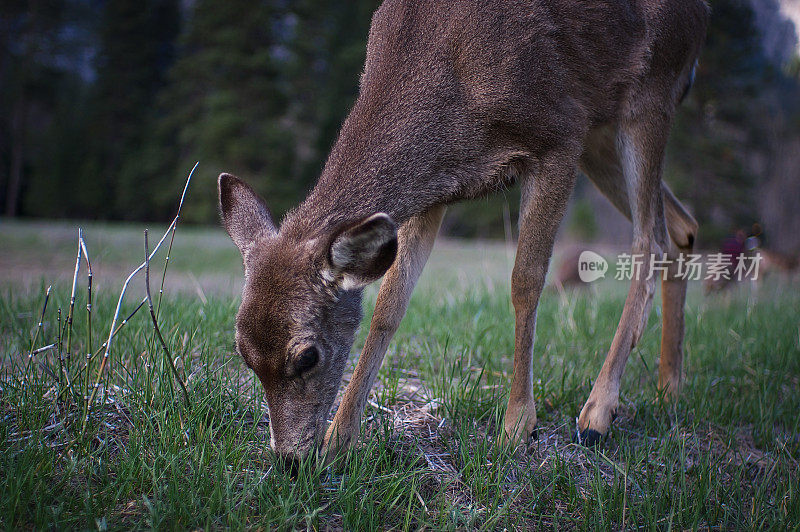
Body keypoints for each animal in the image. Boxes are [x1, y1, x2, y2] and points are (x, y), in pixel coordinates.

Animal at [217, 0, 708, 466]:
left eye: (307, 356)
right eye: (243, 353)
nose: (290, 460)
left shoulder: (560, 133)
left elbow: (526, 282)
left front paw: (518, 426)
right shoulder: (434, 190)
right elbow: (389, 305)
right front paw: (341, 438)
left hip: (650, 91)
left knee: (650, 239)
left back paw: (598, 413)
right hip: (602, 125)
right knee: (682, 228)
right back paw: (670, 387)